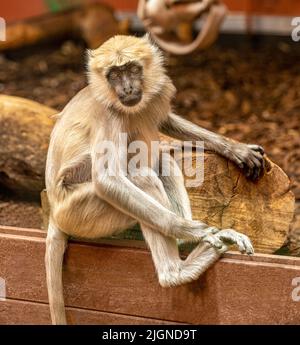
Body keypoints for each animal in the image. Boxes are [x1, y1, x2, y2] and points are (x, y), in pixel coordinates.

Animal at [45, 33, 264, 324]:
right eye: (115, 75)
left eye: (132, 70)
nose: (127, 88)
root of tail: (54, 209)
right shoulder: (110, 113)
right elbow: (107, 180)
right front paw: (196, 230)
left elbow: (164, 120)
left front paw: (234, 149)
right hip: (81, 211)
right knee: (140, 174)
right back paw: (177, 271)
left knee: (160, 161)